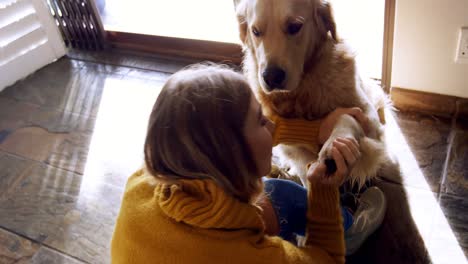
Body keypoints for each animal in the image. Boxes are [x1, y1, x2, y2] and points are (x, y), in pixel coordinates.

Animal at [234, 0, 392, 188]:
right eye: (256, 31)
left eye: (294, 26)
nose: (271, 77)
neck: (305, 88)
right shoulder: (294, 149)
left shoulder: (369, 117)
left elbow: (347, 115)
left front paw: (335, 146)